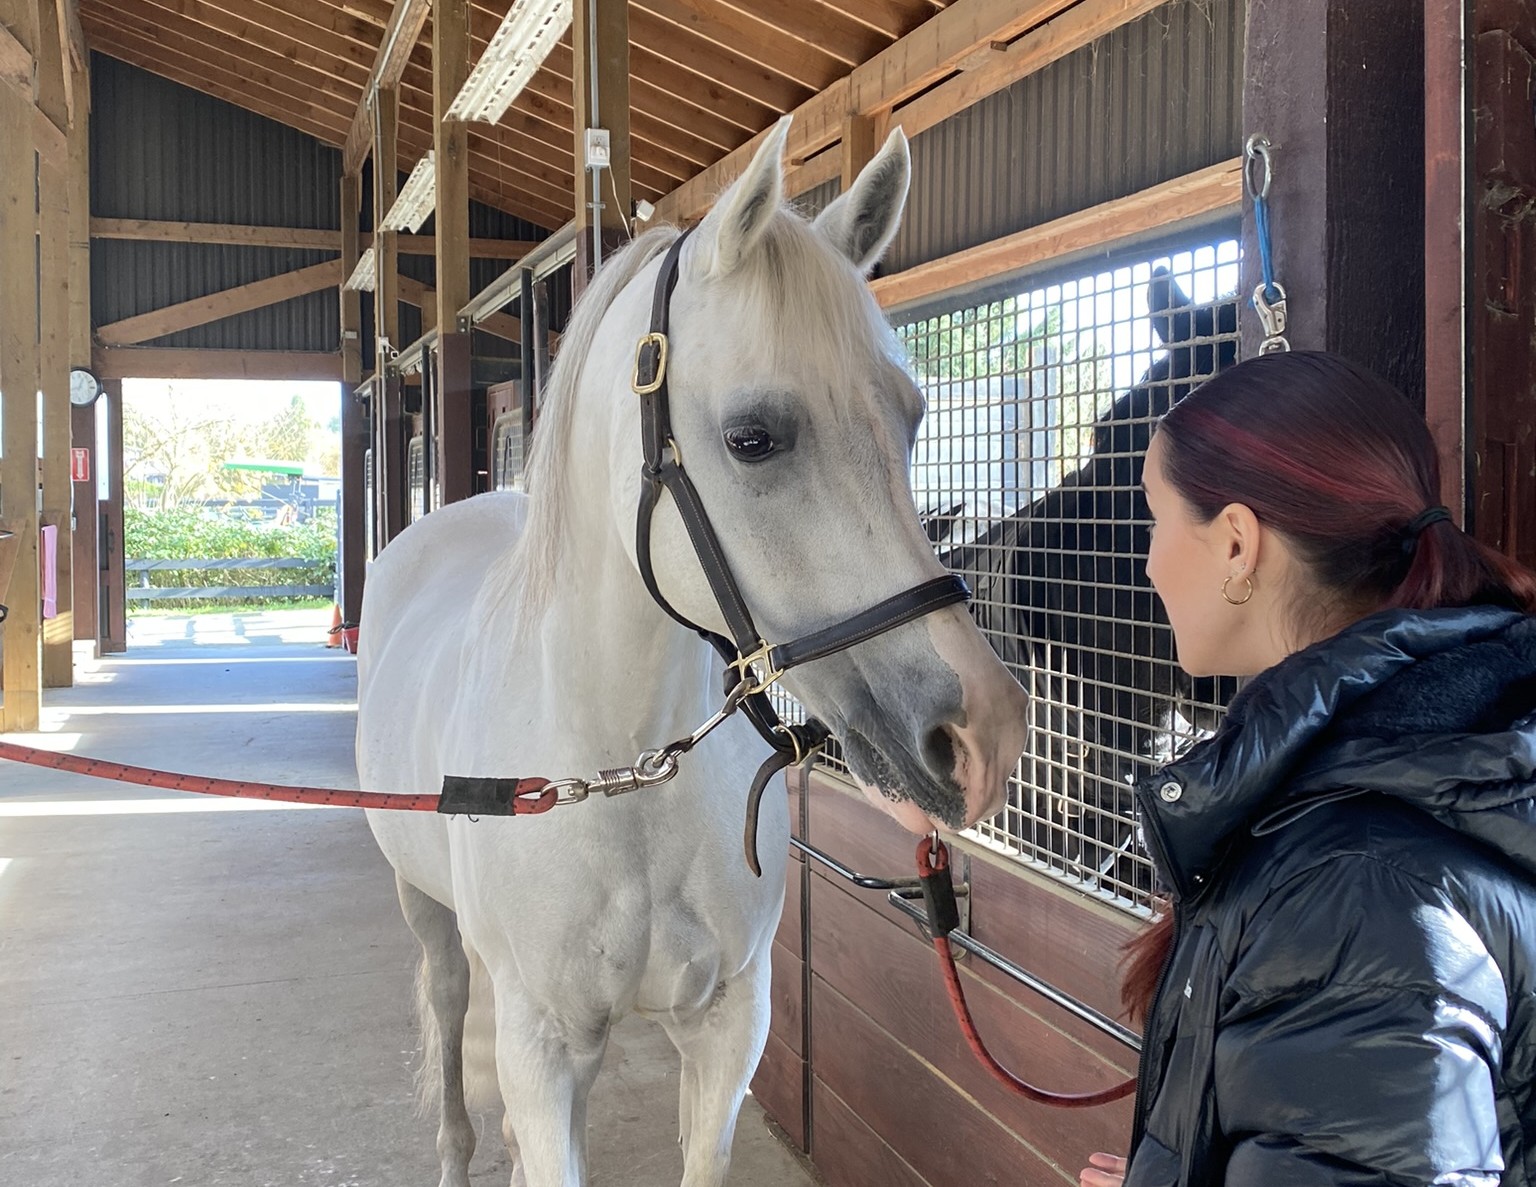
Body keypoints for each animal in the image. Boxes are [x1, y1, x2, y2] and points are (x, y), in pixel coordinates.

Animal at [355, 120, 1030, 1187]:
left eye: (913, 415)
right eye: (753, 438)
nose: (984, 732)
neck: (616, 771)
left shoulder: (727, 1028)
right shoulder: (544, 1056)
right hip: (428, 917)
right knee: (451, 1012)